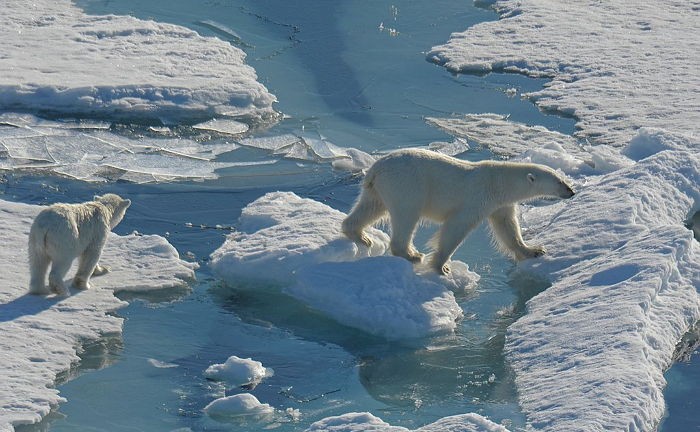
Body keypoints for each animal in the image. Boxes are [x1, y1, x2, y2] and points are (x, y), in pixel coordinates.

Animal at [342, 148, 576, 276]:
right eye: (559, 181)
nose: (571, 191)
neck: (498, 181)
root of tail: (375, 168)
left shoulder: (500, 204)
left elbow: (508, 228)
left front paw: (533, 250)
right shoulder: (476, 198)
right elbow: (456, 228)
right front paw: (441, 267)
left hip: (378, 188)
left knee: (371, 207)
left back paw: (360, 236)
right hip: (407, 185)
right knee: (406, 215)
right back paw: (412, 254)